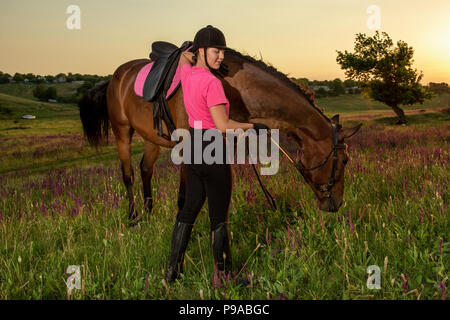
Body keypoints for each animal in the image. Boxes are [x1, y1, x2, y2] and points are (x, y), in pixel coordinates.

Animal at [79, 48, 362, 222]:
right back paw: (133, 216)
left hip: (152, 138)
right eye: (344, 161)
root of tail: (115, 77)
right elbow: (185, 198)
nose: (336, 204)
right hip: (122, 132)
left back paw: (149, 213)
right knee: (127, 175)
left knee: (146, 170)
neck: (231, 87)